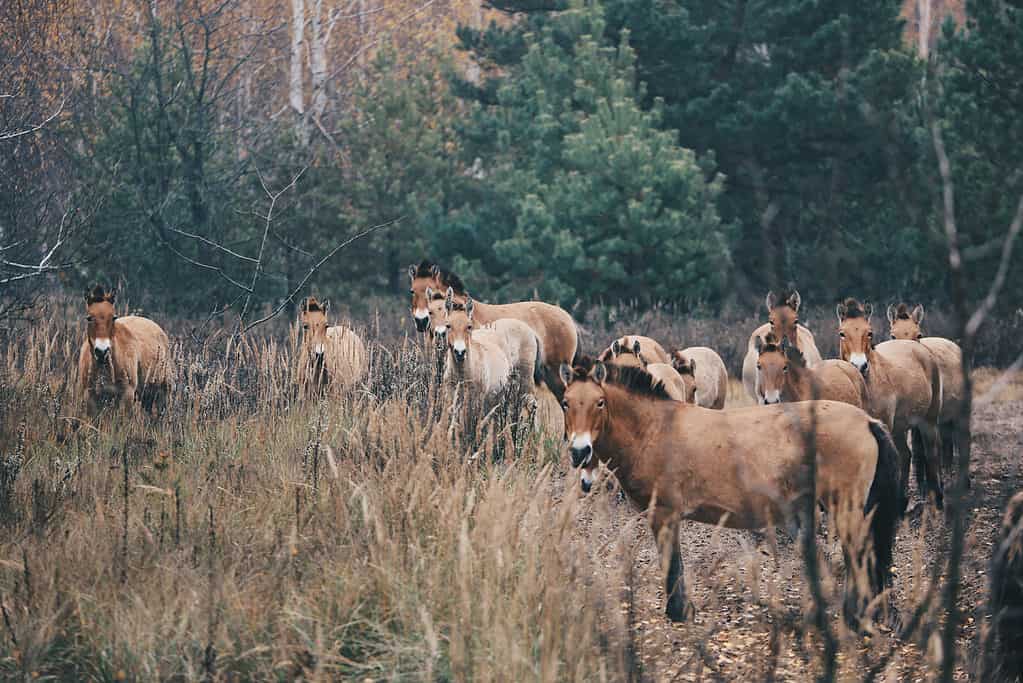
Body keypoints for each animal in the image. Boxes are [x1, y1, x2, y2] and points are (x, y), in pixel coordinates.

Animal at [77, 285, 171, 416]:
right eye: (89, 318)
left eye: (113, 317)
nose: (102, 351)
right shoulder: (90, 397)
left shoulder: (127, 395)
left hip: (161, 394)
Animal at [558, 357, 901, 629]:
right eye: (566, 402)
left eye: (599, 402)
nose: (579, 451)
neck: (655, 428)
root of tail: (868, 422)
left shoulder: (664, 514)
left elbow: (671, 564)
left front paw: (677, 612)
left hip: (846, 509)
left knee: (860, 557)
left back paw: (854, 617)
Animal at [838, 298, 944, 509]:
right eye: (842, 333)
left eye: (869, 332)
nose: (859, 366)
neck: (866, 386)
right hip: (899, 428)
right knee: (905, 455)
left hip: (928, 421)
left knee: (930, 453)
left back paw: (936, 498)